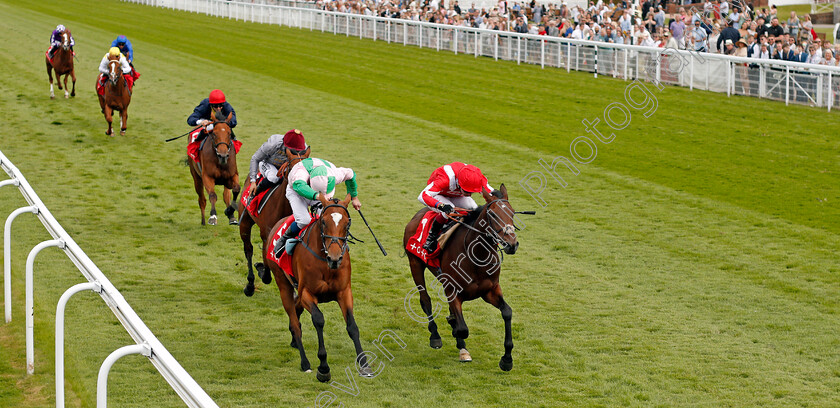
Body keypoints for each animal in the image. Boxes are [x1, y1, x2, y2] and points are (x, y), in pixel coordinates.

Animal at [240, 147, 312, 296]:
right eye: (292, 167)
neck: (283, 205)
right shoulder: (267, 234)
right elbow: (266, 264)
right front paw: (262, 270)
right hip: (244, 222)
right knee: (248, 249)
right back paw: (250, 284)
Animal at [266, 194, 374, 382]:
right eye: (323, 222)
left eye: (347, 223)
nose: (335, 258)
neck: (326, 264)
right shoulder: (307, 293)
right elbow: (319, 319)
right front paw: (323, 367)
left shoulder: (344, 292)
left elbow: (352, 326)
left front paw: (364, 364)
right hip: (283, 283)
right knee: (295, 322)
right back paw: (305, 362)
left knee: (296, 311)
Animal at [404, 184, 520, 370]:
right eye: (493, 214)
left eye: (513, 213)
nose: (512, 244)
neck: (477, 256)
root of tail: (418, 215)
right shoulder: (453, 291)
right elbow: (463, 329)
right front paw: (460, 343)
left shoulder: (490, 290)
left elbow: (507, 312)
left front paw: (507, 359)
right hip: (415, 263)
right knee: (425, 300)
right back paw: (435, 336)